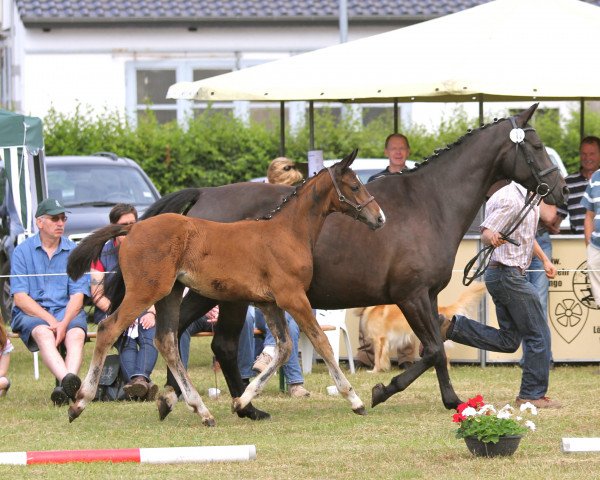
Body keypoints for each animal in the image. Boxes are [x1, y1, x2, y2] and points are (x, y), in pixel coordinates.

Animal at [65, 152, 384, 426]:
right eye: (355, 186)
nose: (379, 217)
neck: (287, 232)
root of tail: (131, 229)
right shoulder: (293, 298)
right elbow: (321, 343)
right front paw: (355, 400)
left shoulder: (269, 303)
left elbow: (283, 349)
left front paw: (242, 401)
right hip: (146, 292)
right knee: (108, 329)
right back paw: (80, 402)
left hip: (170, 294)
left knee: (166, 341)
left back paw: (199, 409)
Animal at [358, 284, 486, 374]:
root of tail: (443, 308)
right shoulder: (384, 340)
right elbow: (382, 357)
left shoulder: (378, 339)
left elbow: (376, 358)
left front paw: (374, 371)